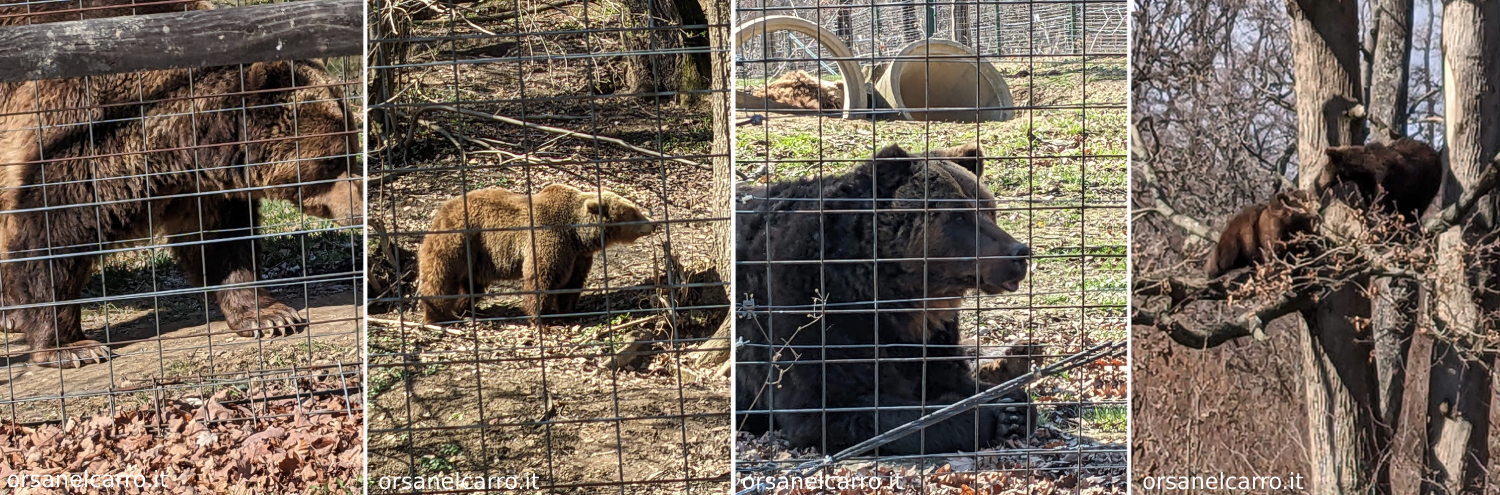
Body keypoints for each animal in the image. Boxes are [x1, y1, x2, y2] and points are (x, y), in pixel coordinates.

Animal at [0, 6, 360, 367]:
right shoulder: (77, 137)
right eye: (331, 161)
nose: (359, 208)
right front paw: (72, 346)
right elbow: (53, 236)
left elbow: (221, 240)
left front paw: (269, 314)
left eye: (353, 150)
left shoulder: (197, 187)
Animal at [732, 141, 1038, 453]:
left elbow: (946, 374)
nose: (1019, 253)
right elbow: (833, 406)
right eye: (959, 215)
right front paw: (993, 414)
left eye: (989, 209)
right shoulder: (808, 311)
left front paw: (1014, 405)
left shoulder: (926, 335)